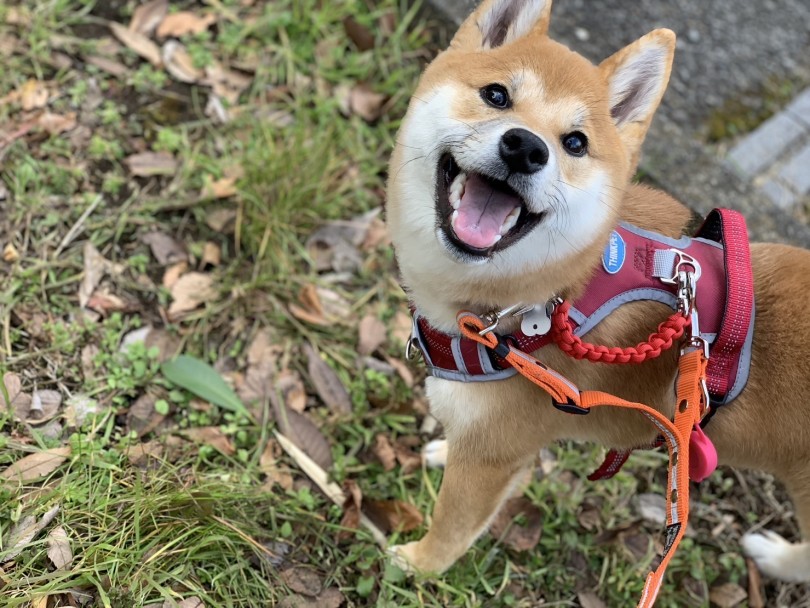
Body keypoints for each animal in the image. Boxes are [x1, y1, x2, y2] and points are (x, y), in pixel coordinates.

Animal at [384, 0, 808, 588]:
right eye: (496, 95)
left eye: (576, 143)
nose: (526, 147)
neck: (543, 300)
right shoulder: (504, 446)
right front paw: (441, 450)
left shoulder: (489, 459)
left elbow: (451, 529)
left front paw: (414, 566)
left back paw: (776, 558)